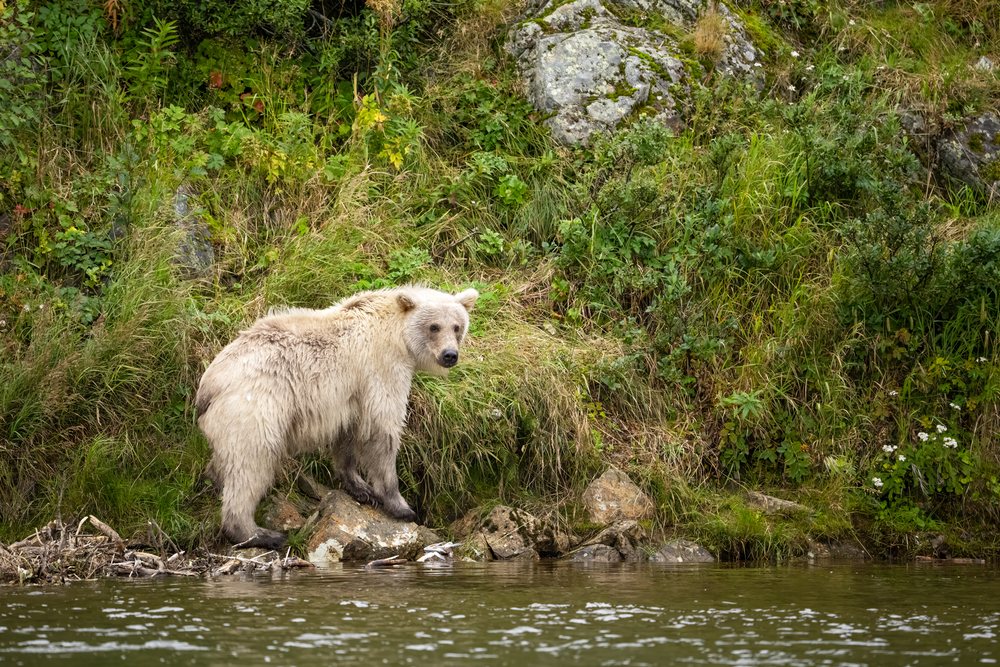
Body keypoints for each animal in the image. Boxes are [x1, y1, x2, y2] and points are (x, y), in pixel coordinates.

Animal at [195, 285, 479, 549]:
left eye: (457, 326)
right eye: (434, 326)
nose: (450, 355)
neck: (399, 337)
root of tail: (208, 385)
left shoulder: (351, 397)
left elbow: (349, 437)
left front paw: (360, 488)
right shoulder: (382, 369)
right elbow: (383, 431)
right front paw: (401, 506)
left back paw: (215, 480)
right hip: (256, 408)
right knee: (251, 467)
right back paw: (260, 533)